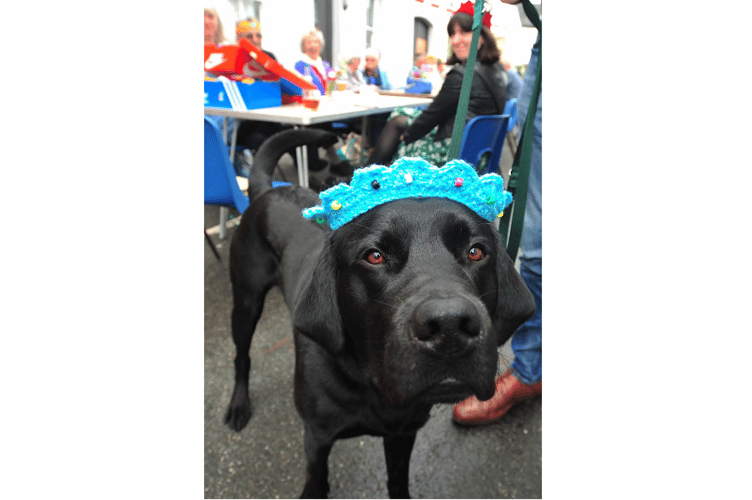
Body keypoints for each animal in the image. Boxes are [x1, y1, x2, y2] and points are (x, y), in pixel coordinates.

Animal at [225, 128, 536, 496]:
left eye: (476, 251)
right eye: (374, 256)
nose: (449, 327)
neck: (373, 388)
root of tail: (270, 190)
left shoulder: (403, 435)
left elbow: (397, 480)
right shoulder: (317, 438)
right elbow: (316, 480)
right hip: (246, 302)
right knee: (241, 357)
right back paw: (238, 406)